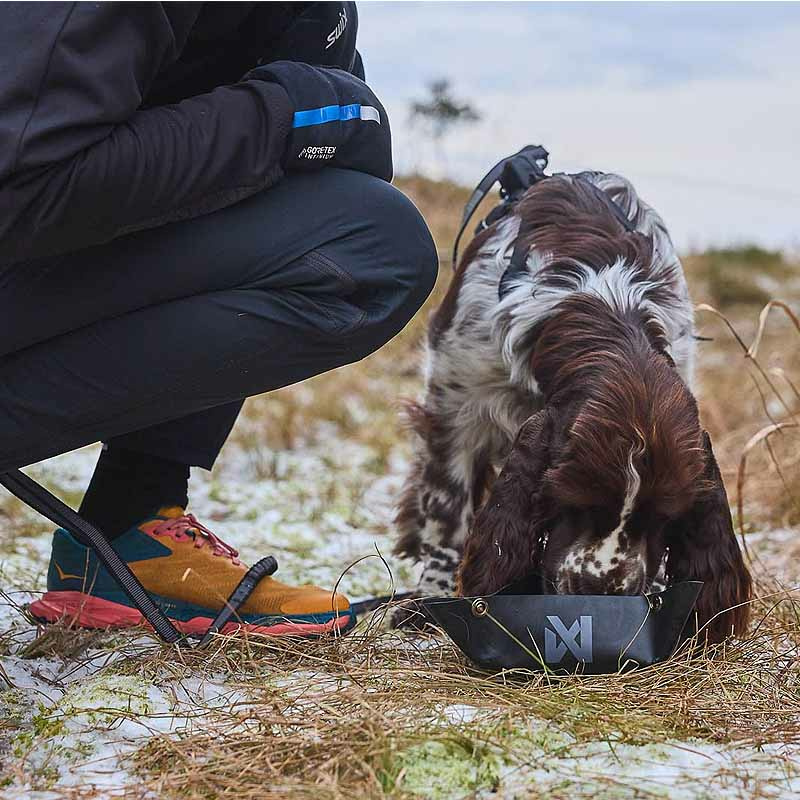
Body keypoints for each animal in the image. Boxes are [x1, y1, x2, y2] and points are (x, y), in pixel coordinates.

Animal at [396, 170, 752, 644]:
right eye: (576, 501)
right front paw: (430, 604)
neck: (604, 306)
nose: (601, 594)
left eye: (663, 515)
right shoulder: (457, 408)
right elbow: (448, 514)